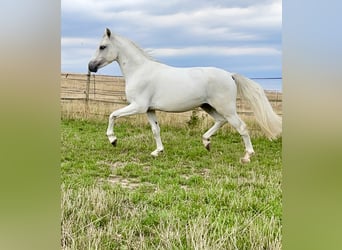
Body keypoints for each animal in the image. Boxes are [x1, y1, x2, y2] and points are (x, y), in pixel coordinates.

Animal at [89, 28, 282, 163]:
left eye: (102, 46)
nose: (91, 66)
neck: (139, 71)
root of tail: (229, 75)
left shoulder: (138, 106)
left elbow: (112, 115)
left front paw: (113, 140)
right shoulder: (149, 109)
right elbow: (156, 130)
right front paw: (157, 152)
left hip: (226, 108)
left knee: (241, 127)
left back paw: (247, 156)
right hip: (208, 106)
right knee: (220, 121)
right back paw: (206, 142)